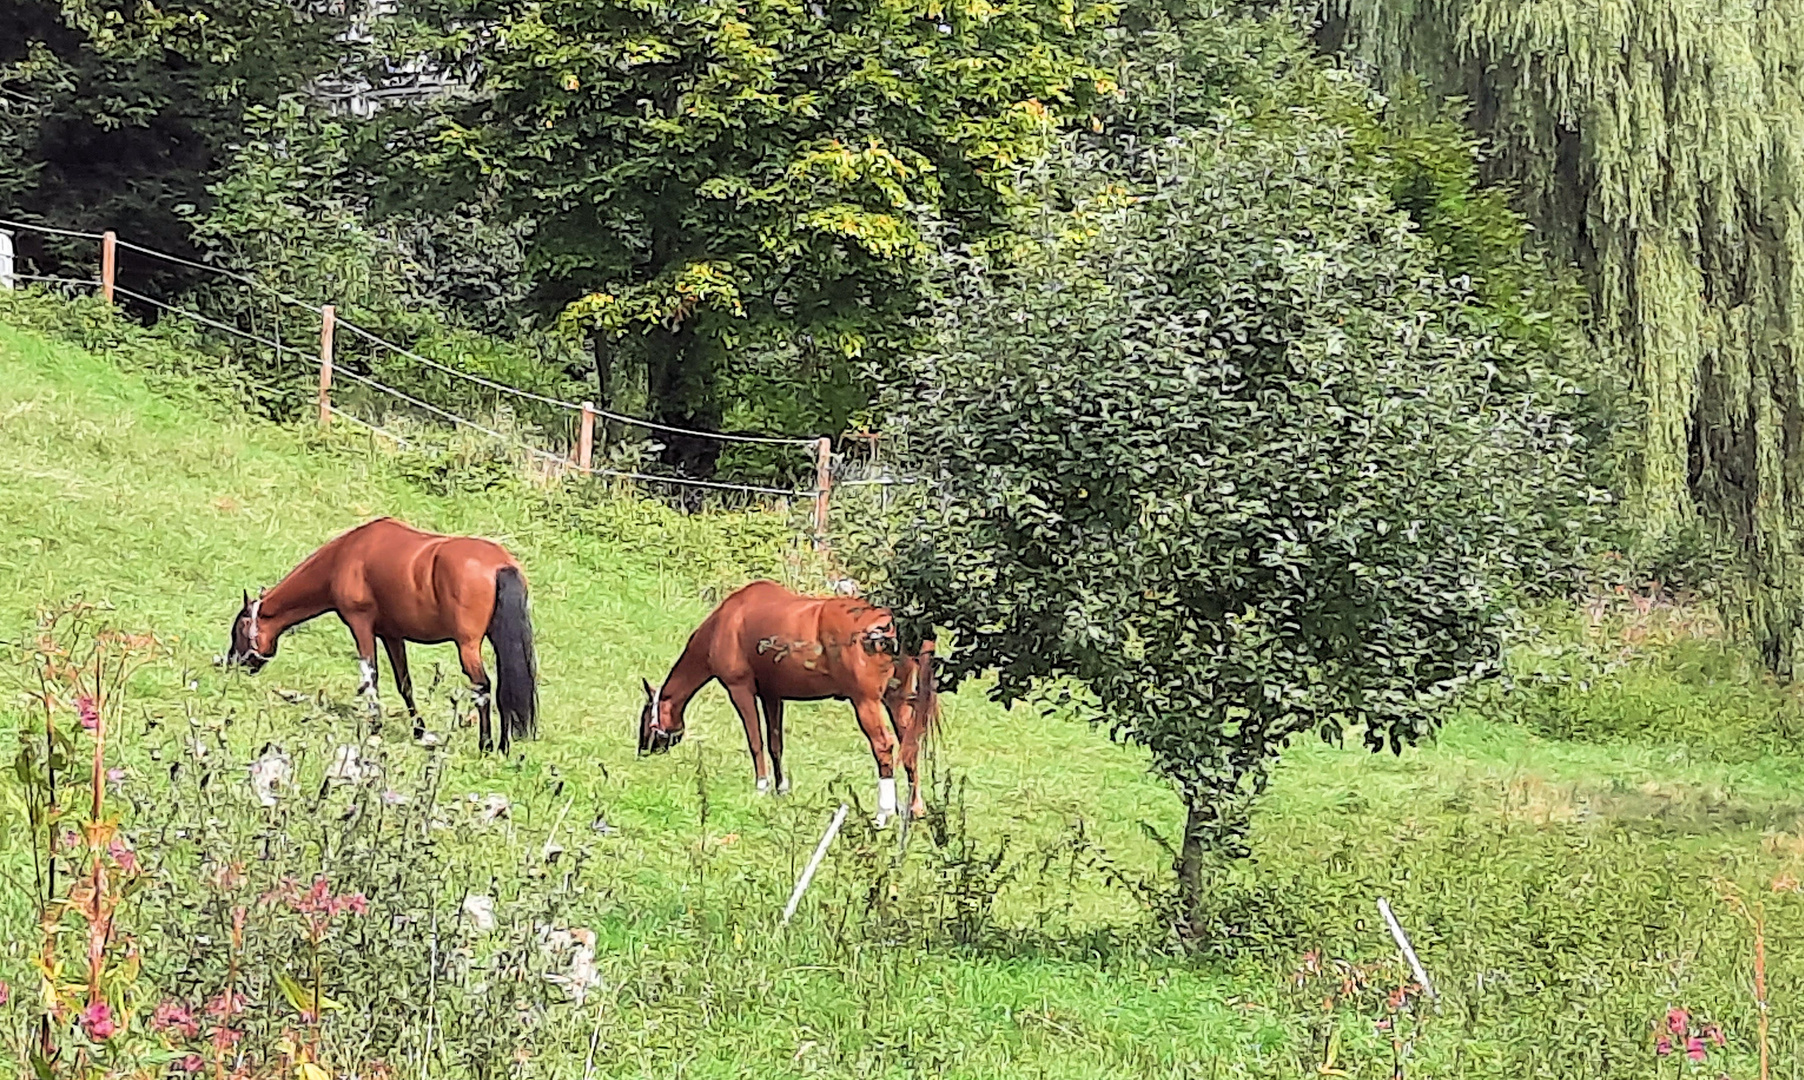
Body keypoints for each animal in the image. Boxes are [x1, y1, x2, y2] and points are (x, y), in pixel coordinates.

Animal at [225, 519, 537, 757]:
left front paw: (375, 724)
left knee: (483, 686)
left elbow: (369, 676)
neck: (346, 554)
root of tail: (499, 565)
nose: (231, 664)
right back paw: (502, 745)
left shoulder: (360, 624)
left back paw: (487, 744)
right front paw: (419, 730)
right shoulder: (392, 635)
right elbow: (404, 684)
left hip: (467, 646)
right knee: (504, 688)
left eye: (239, 630)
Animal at [638, 584, 945, 829]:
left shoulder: (741, 690)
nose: (642, 750)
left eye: (645, 717)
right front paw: (781, 789)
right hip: (898, 700)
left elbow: (755, 741)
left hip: (866, 703)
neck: (728, 621)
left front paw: (761, 787)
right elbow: (775, 743)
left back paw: (883, 815)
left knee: (884, 747)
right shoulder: (772, 696)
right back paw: (915, 809)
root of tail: (896, 625)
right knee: (909, 746)